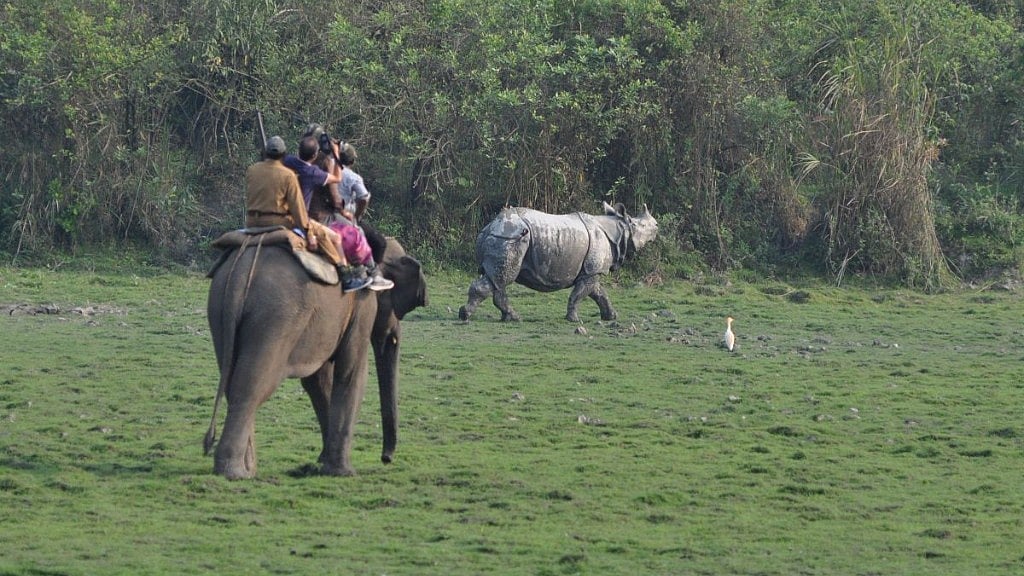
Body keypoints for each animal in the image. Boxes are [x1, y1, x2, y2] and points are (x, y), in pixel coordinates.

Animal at [458, 202, 658, 322]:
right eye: (640, 225)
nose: (657, 226)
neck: (619, 230)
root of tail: (489, 227)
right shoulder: (592, 271)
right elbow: (580, 294)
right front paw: (574, 320)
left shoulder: (591, 271)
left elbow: (600, 293)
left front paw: (611, 317)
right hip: (509, 238)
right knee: (502, 279)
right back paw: (466, 315)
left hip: (503, 238)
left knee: (498, 280)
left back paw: (511, 318)